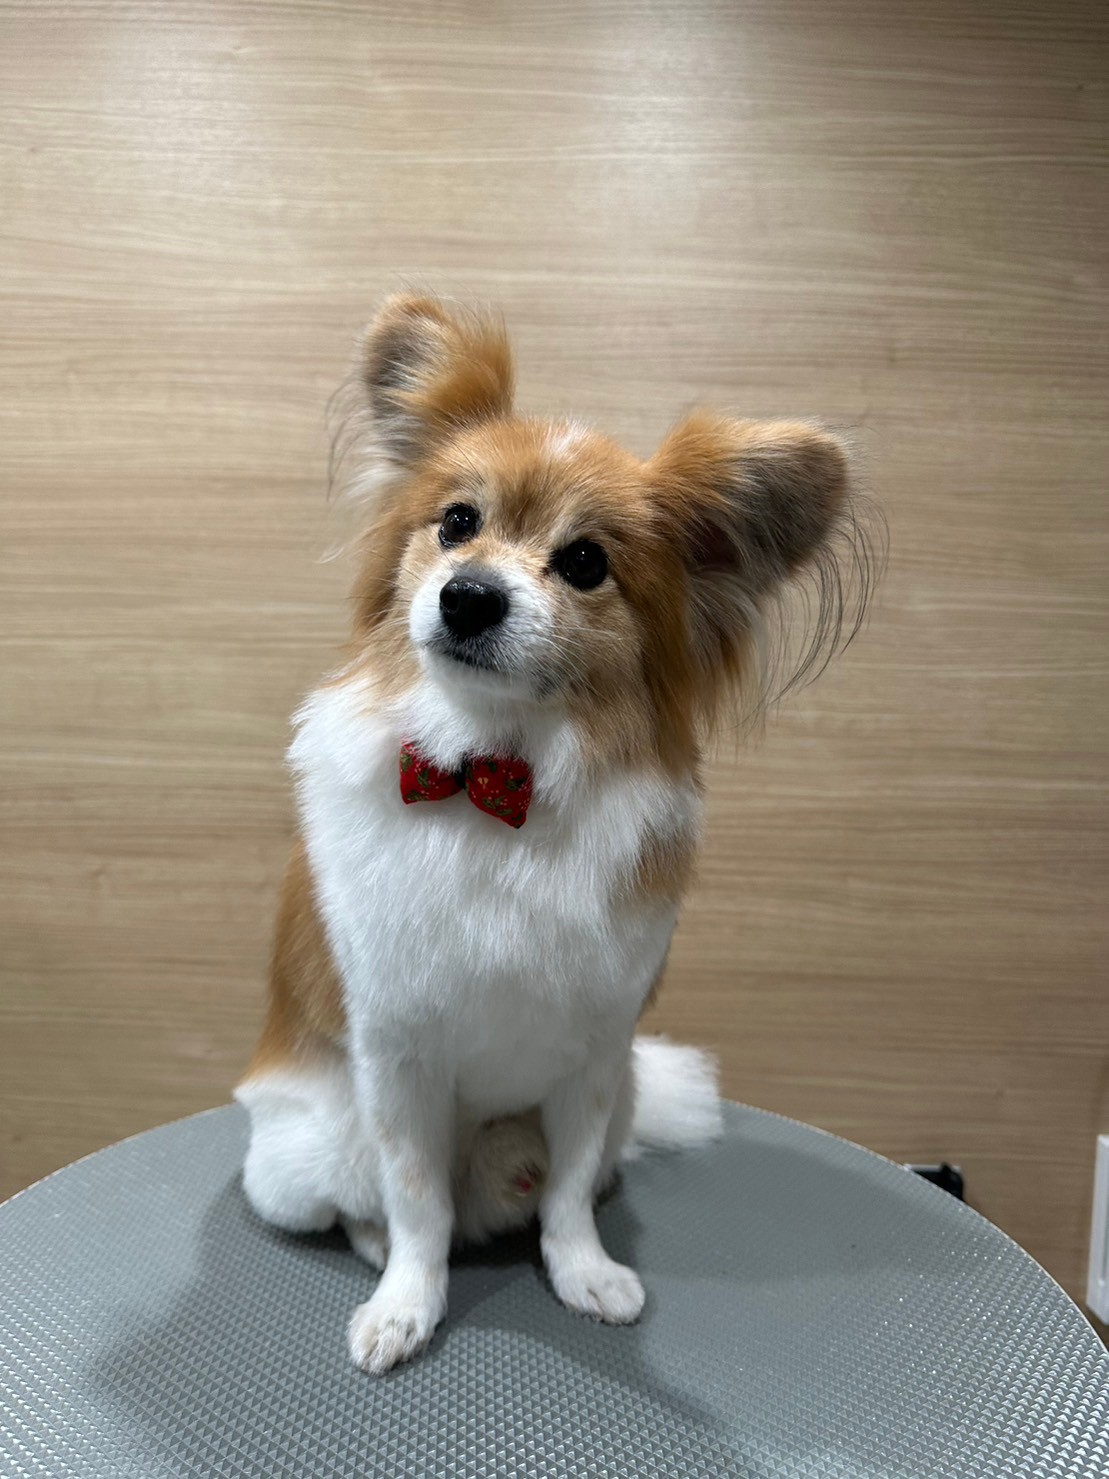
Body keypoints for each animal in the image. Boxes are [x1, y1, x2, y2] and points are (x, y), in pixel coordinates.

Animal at [234, 294, 875, 1374]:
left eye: (584, 563)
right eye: (456, 524)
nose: (467, 594)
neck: (489, 779)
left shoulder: (594, 1057)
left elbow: (570, 1192)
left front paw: (583, 1271)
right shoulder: (398, 1059)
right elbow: (416, 1201)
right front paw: (406, 1302)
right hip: (302, 1151)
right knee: (365, 1201)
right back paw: (373, 1242)